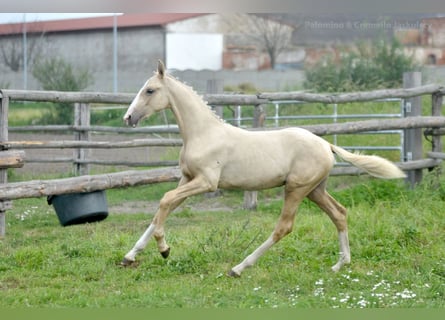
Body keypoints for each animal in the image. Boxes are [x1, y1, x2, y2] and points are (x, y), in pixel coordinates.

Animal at [121, 61, 406, 276]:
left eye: (149, 90)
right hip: (315, 190)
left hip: (296, 189)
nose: (128, 118)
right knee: (340, 214)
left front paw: (164, 249)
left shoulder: (206, 182)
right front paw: (130, 256)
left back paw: (238, 268)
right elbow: (162, 209)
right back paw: (340, 264)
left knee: (284, 227)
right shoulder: (187, 179)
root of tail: (326, 144)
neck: (203, 134)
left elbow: (164, 201)